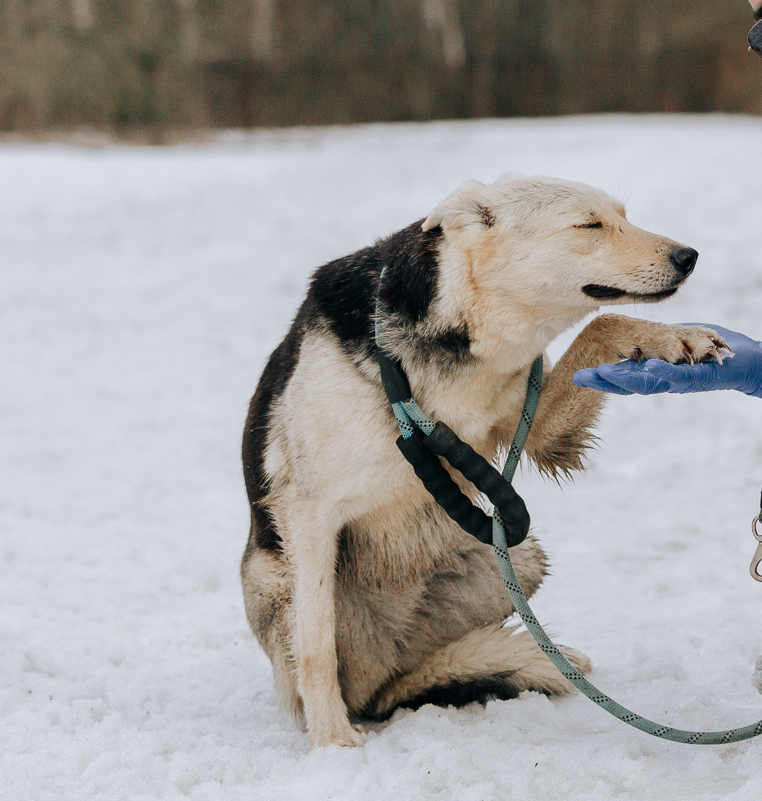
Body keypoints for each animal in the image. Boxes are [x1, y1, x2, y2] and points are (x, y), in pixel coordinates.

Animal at [240, 175, 720, 752]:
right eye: (589, 225)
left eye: (623, 217)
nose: (689, 256)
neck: (465, 333)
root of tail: (382, 677)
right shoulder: (308, 512)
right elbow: (315, 646)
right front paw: (332, 743)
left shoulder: (537, 431)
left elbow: (602, 324)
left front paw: (673, 338)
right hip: (273, 577)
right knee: (339, 666)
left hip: (518, 556)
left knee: (417, 676)